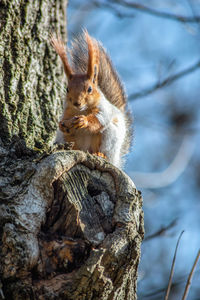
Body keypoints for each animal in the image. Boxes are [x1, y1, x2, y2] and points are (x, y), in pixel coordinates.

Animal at [50, 31, 131, 170]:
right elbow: (63, 119)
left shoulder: (104, 109)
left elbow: (100, 119)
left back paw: (100, 154)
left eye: (89, 89)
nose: (77, 103)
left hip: (110, 137)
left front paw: (84, 121)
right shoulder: (67, 110)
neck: (82, 110)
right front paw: (61, 124)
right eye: (67, 89)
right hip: (66, 138)